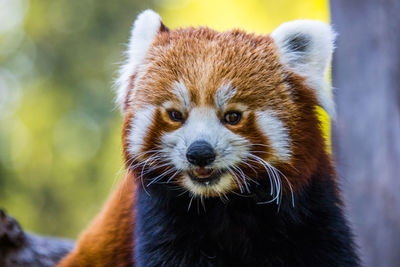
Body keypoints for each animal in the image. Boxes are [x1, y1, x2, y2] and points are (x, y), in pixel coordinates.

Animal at [57, 9, 360, 266]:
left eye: (233, 117)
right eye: (176, 115)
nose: (200, 153)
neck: (225, 203)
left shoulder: (310, 210)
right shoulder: (161, 221)